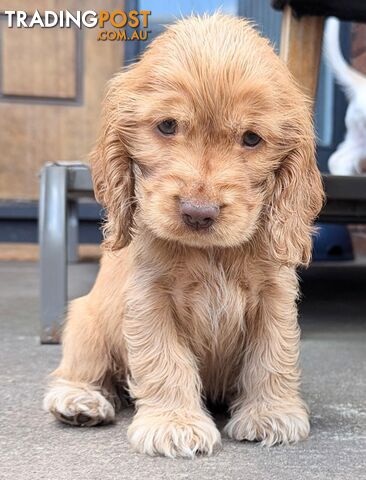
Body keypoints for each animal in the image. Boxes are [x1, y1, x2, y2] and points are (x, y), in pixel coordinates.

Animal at [43, 14, 324, 458]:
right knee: (81, 368)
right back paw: (79, 401)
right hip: (86, 321)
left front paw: (271, 414)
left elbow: (272, 354)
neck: (213, 254)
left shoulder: (274, 297)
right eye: (167, 126)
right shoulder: (150, 299)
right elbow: (165, 361)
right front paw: (174, 424)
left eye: (251, 138)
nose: (198, 212)